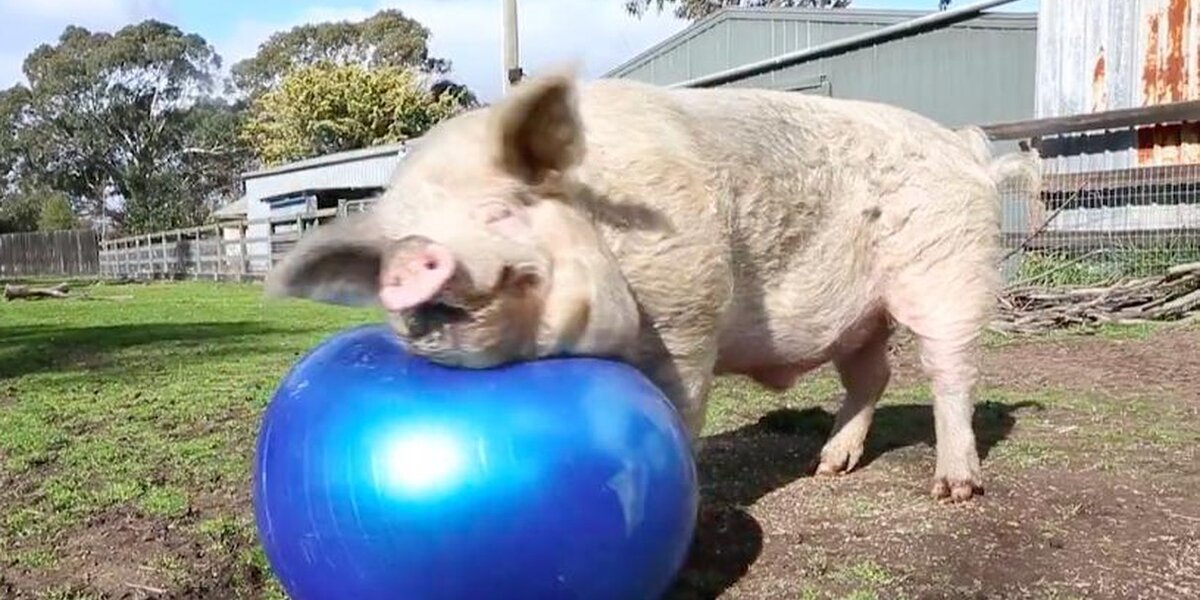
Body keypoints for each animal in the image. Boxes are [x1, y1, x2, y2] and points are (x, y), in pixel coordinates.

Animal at [267, 65, 1036, 504]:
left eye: (501, 210)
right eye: (391, 245)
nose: (411, 258)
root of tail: (967, 148)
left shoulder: (687, 311)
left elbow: (679, 406)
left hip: (948, 270)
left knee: (951, 374)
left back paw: (955, 491)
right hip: (860, 315)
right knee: (871, 375)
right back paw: (828, 468)